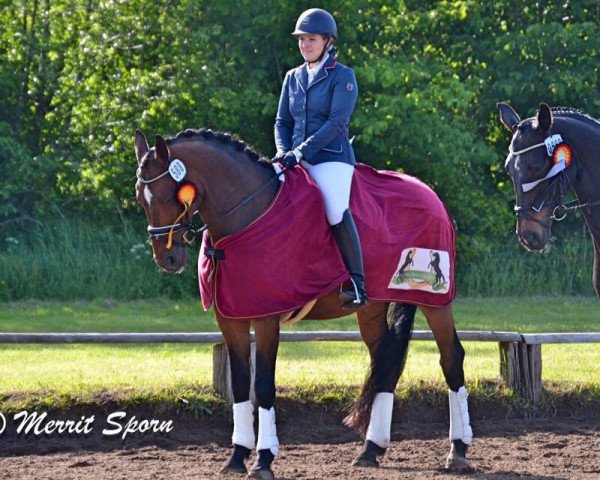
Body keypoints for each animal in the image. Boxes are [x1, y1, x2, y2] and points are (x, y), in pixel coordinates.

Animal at [132, 129, 474, 478]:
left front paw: (263, 459)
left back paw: (458, 450)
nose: (168, 260)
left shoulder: (266, 319)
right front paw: (236, 457)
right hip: (372, 307)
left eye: (167, 196)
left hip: (435, 302)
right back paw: (370, 449)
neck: (247, 216)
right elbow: (240, 385)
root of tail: (430, 193)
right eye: (140, 199)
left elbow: (263, 386)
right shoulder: (231, 320)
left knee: (451, 358)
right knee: (385, 362)